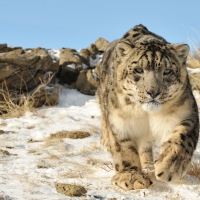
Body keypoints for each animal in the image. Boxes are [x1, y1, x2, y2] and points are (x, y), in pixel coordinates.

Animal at [96, 24, 198, 190]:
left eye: (167, 71)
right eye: (138, 70)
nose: (153, 92)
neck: (147, 115)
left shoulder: (187, 112)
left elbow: (183, 137)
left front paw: (170, 166)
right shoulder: (119, 122)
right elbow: (123, 148)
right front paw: (130, 176)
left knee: (145, 146)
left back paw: (150, 165)